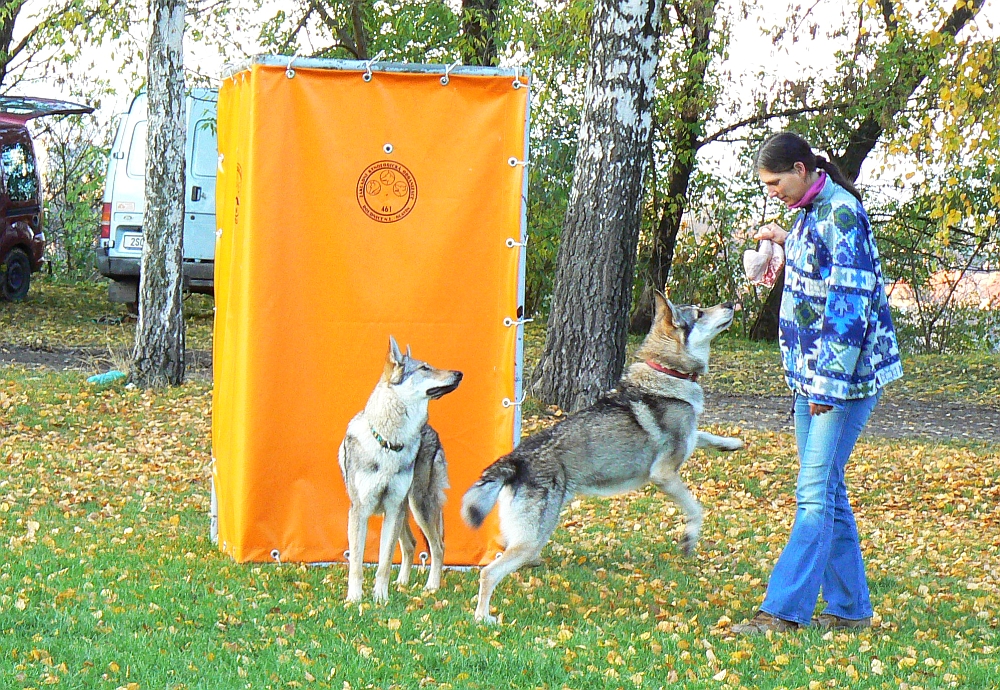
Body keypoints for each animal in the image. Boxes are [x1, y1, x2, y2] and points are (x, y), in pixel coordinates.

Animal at [336, 336, 460, 600]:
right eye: (425, 368)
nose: (459, 373)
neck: (389, 444)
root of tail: (430, 430)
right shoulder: (361, 511)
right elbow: (357, 563)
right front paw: (355, 599)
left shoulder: (392, 508)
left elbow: (383, 563)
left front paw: (380, 599)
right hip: (406, 510)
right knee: (412, 544)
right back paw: (402, 583)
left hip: (416, 506)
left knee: (438, 546)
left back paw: (431, 587)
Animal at [460, 292, 744, 620]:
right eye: (699, 313)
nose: (731, 304)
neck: (667, 373)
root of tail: (515, 460)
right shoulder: (663, 474)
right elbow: (696, 509)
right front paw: (689, 540)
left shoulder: (686, 443)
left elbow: (703, 436)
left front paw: (732, 443)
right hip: (531, 540)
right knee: (488, 573)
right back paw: (484, 618)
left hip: (530, 536)